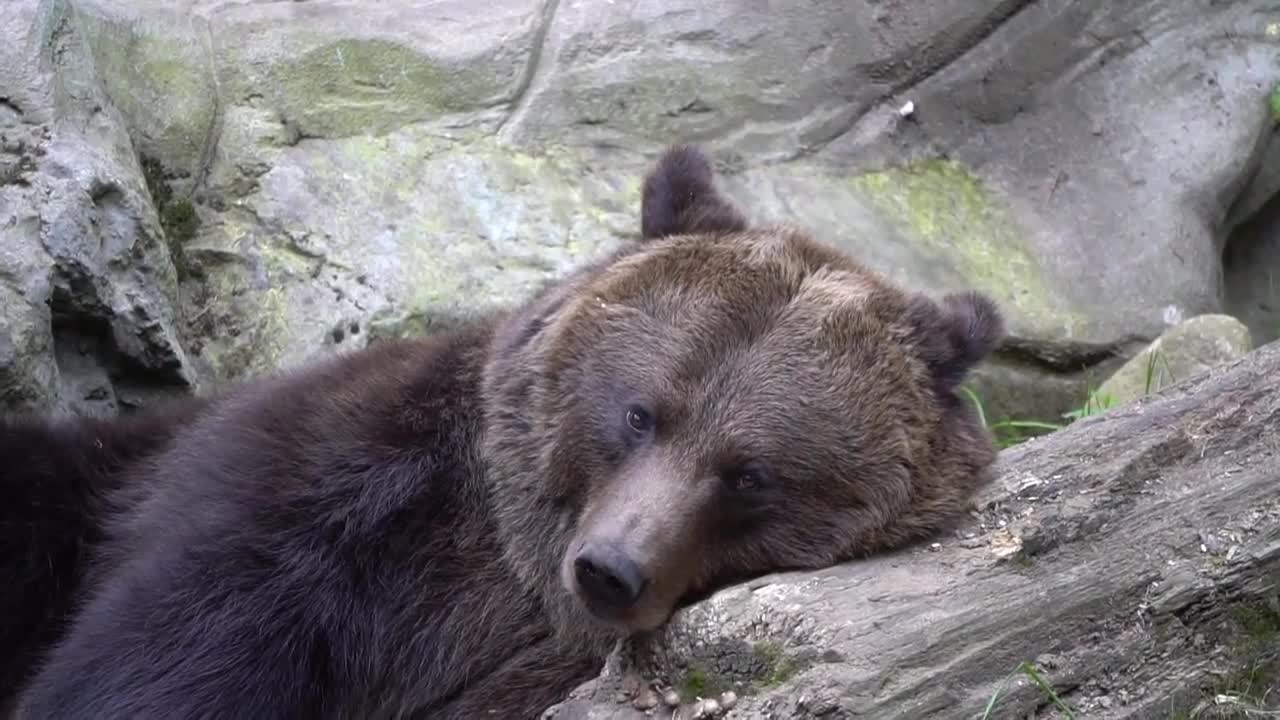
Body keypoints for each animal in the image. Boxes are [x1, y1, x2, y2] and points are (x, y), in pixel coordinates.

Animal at [0, 142, 1003, 712]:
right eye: (639, 414)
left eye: (749, 474)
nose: (610, 569)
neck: (513, 569)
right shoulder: (329, 497)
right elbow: (170, 649)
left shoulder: (537, 664)